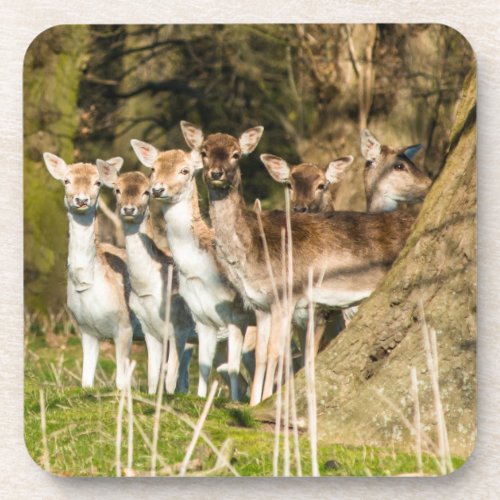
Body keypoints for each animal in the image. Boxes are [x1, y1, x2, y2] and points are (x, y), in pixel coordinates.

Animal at [42, 152, 142, 390]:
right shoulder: (85, 328)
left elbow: (121, 382)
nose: (81, 200)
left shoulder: (125, 325)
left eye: (97, 183)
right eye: (66, 180)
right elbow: (86, 381)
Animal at [95, 164, 195, 394]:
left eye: (146, 192)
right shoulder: (149, 328)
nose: (129, 209)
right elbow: (152, 376)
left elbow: (170, 380)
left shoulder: (181, 326)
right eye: (118, 189)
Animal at [130, 139, 254, 400]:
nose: (158, 189)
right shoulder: (202, 318)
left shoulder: (236, 316)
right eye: (153, 168)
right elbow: (203, 367)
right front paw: (201, 398)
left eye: (185, 170)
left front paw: (234, 404)